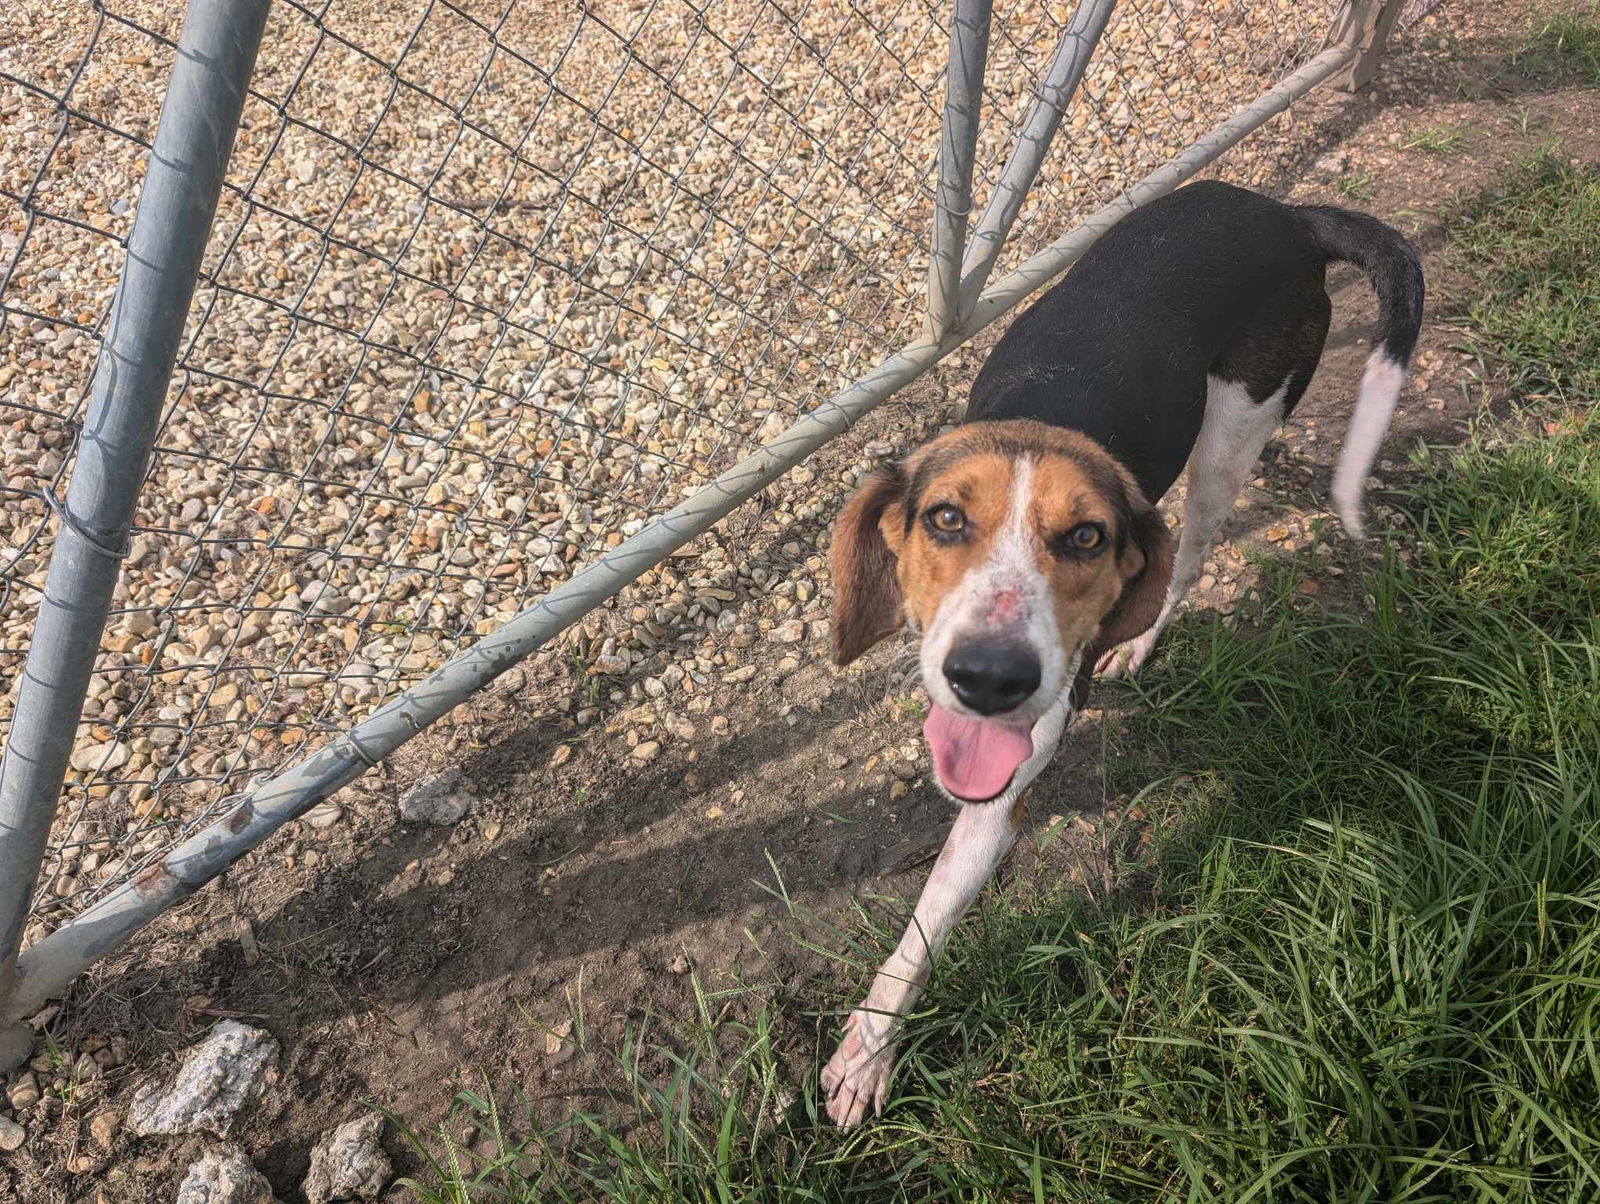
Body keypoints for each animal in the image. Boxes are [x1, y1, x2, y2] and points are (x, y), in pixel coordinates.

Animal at [819, 180, 1420, 1127]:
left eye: (1088, 537)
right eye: (945, 518)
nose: (990, 678)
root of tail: (1285, 215)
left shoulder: (999, 796)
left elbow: (927, 921)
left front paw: (871, 1051)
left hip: (1232, 435)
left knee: (1195, 553)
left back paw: (1137, 642)